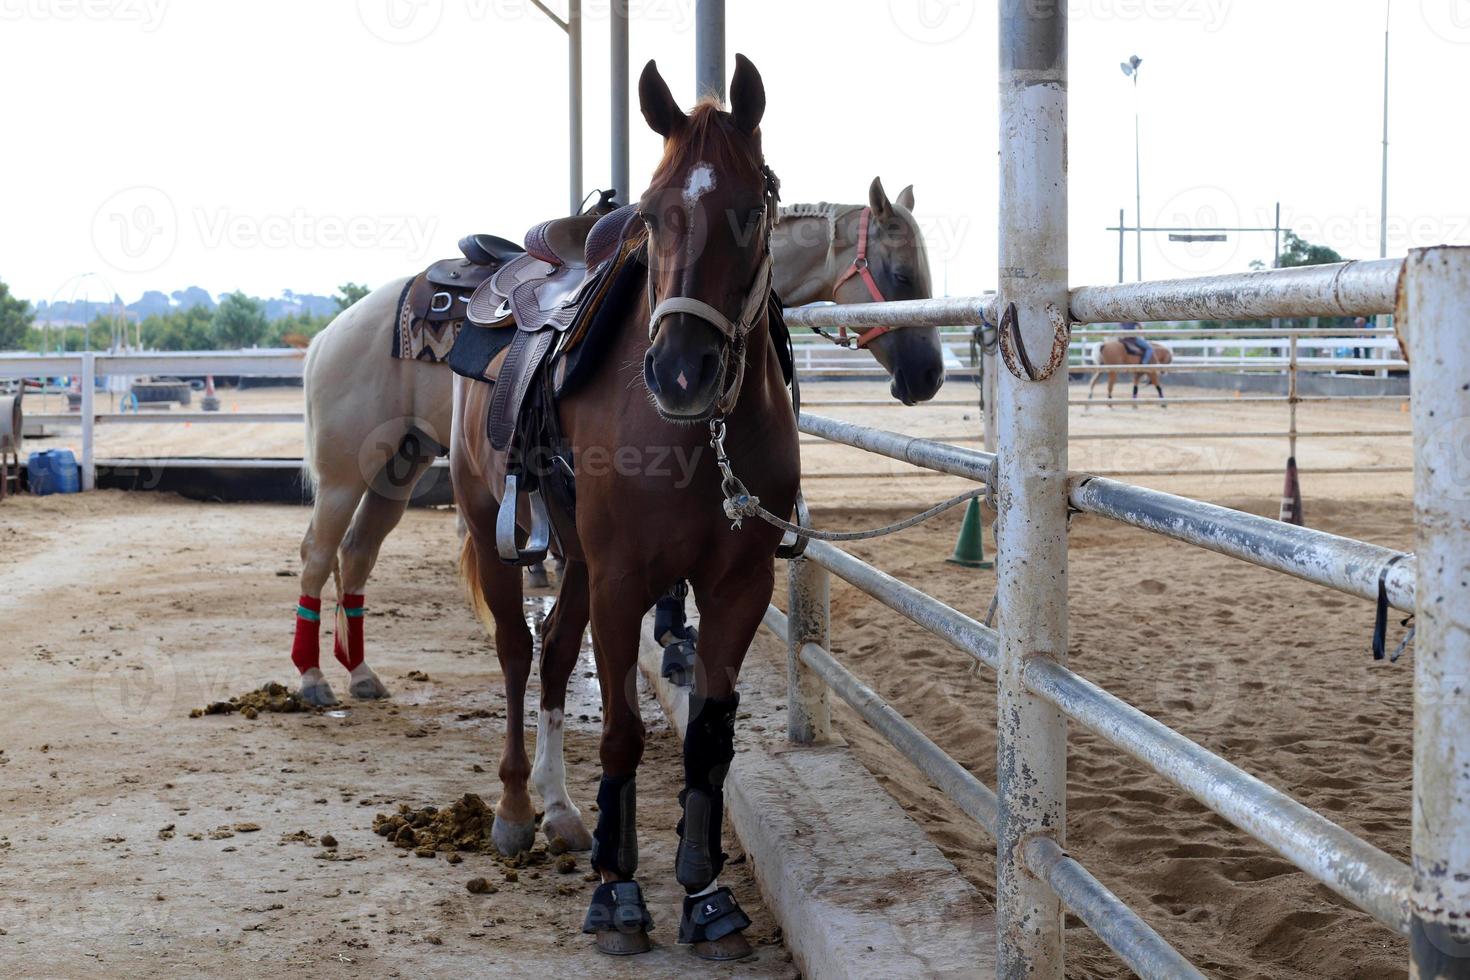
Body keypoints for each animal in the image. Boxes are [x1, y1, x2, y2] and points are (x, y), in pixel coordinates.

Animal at [291, 179, 946, 708]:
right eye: (902, 275)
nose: (929, 375)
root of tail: (330, 334)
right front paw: (675, 643)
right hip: (346, 473)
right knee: (318, 554)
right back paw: (311, 679)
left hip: (398, 467)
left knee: (357, 554)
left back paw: (362, 675)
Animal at [449, 55, 793, 957]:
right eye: (651, 215)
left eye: (751, 210)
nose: (679, 372)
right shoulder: (625, 580)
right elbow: (624, 732)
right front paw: (619, 895)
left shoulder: (739, 584)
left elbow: (709, 736)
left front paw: (704, 894)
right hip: (497, 533)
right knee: (516, 653)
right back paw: (516, 808)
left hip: (575, 557)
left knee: (556, 654)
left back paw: (564, 810)